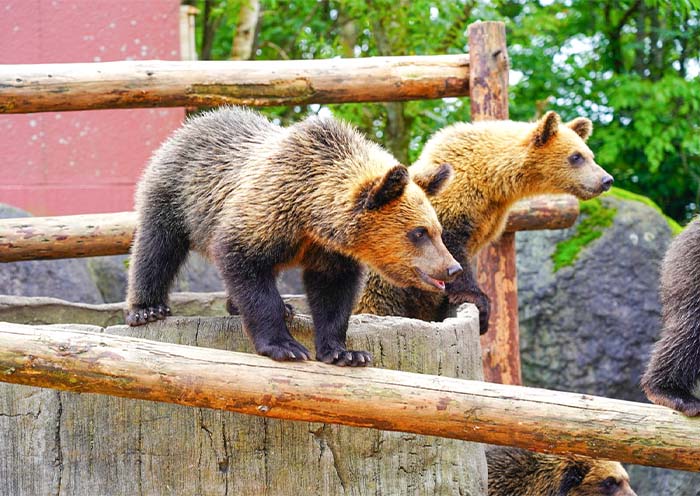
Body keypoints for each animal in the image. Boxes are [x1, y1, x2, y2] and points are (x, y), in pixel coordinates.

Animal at [125, 106, 462, 366]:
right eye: (418, 232)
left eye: (437, 230)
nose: (452, 268)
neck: (310, 215)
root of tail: (192, 124)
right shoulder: (265, 213)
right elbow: (246, 270)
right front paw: (285, 346)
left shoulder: (327, 250)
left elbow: (333, 293)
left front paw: (344, 352)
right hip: (176, 194)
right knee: (157, 248)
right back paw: (147, 308)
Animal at [355, 111, 614, 333]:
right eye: (576, 157)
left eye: (590, 155)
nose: (606, 180)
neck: (492, 186)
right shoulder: (447, 212)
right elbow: (450, 254)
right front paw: (479, 303)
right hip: (377, 289)